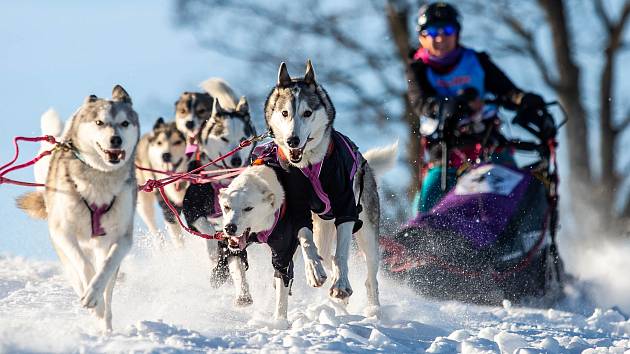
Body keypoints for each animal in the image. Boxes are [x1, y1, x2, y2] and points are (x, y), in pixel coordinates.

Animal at [16, 86, 140, 332]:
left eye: (124, 123)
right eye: (100, 122)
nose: (116, 139)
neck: (100, 178)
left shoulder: (122, 238)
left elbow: (105, 268)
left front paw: (95, 295)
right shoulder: (63, 232)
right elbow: (84, 266)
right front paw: (91, 298)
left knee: (108, 286)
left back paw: (106, 324)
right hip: (64, 249)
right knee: (76, 271)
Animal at [136, 117, 188, 245]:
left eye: (177, 142)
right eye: (159, 143)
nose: (165, 155)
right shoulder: (169, 210)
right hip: (144, 205)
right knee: (154, 229)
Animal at [217, 142, 396, 324]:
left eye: (248, 208)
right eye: (226, 207)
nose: (230, 227)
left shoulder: (284, 251)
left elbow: (282, 284)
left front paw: (279, 322)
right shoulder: (231, 244)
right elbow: (236, 264)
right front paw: (243, 295)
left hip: (366, 234)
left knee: (370, 276)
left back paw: (373, 309)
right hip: (321, 237)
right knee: (327, 257)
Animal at [262, 60, 392, 316]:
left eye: (307, 113)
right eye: (285, 113)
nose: (292, 140)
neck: (310, 165)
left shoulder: (346, 207)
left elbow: (341, 254)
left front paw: (340, 284)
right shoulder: (296, 209)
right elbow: (306, 240)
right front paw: (314, 270)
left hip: (368, 232)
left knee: (370, 277)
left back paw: (372, 309)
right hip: (321, 226)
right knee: (321, 251)